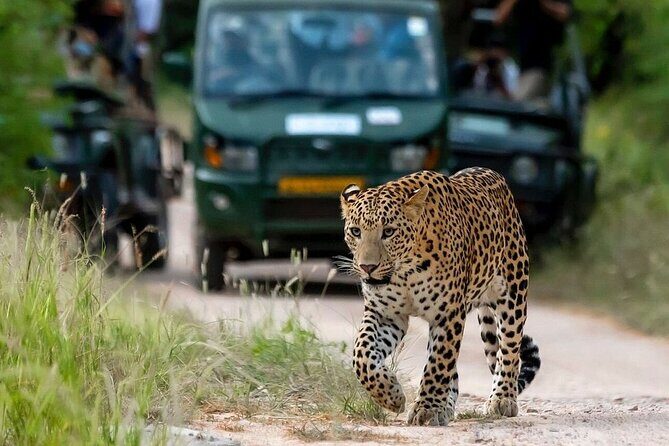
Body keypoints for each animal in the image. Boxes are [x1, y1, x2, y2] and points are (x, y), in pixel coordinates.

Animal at [338, 168, 541, 426]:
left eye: (389, 232)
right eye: (356, 232)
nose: (367, 267)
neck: (405, 271)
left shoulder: (448, 315)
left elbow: (437, 364)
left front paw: (426, 409)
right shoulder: (385, 314)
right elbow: (362, 355)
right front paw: (391, 395)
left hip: (513, 294)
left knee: (509, 350)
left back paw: (502, 399)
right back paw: (446, 407)